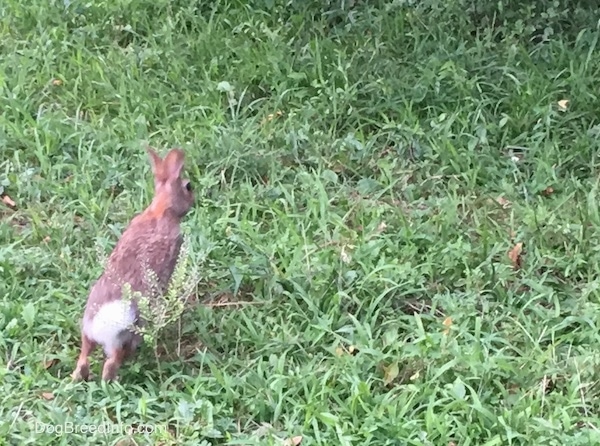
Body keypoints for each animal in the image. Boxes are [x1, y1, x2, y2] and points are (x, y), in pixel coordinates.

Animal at [72, 148, 195, 382]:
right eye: (188, 186)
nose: (194, 198)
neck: (161, 210)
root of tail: (103, 323)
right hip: (125, 337)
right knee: (111, 363)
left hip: (87, 333)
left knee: (83, 358)